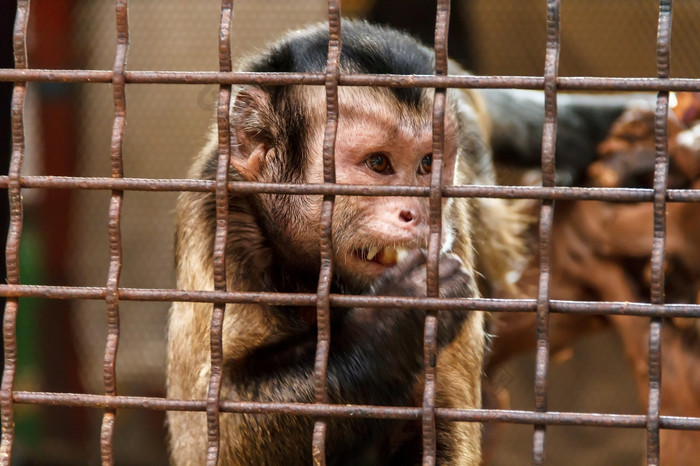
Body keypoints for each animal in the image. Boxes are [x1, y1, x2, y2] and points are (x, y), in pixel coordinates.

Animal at [165, 19, 636, 466]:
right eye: (378, 163)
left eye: (428, 164)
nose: (421, 212)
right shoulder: (220, 221)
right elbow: (211, 428)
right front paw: (395, 319)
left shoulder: (452, 227)